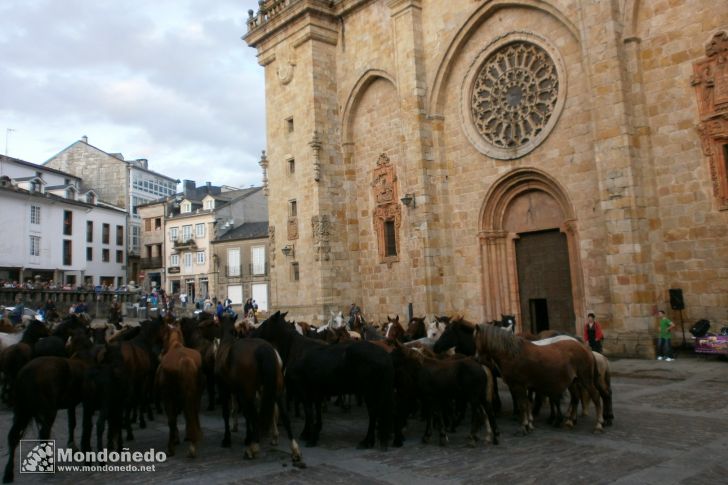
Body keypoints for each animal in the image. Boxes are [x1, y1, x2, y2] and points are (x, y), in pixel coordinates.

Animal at [156, 324, 202, 456]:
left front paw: (175, 440)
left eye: (163, 338)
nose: (160, 354)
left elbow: (173, 418)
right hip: (195, 393)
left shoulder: (169, 397)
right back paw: (193, 441)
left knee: (172, 419)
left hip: (168, 396)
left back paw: (171, 447)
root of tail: (184, 359)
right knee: (193, 412)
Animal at [472, 324, 604, 432]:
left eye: (475, 338)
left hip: (586, 379)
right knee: (575, 398)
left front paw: (524, 425)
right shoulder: (524, 386)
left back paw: (598, 424)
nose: (477, 358)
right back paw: (570, 421)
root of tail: (584, 347)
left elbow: (522, 404)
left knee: (596, 396)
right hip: (573, 381)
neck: (512, 354)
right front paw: (529, 423)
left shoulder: (518, 385)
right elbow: (526, 403)